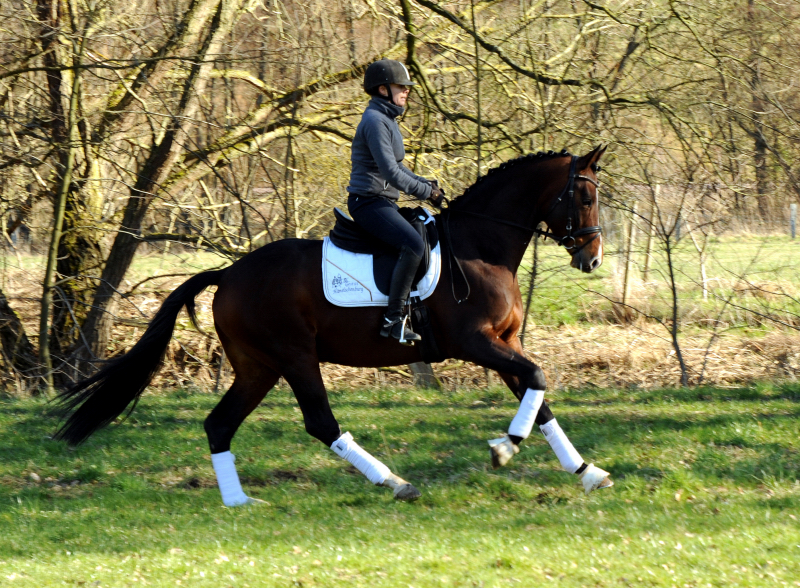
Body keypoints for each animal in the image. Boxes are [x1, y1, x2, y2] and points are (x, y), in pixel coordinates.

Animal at [56, 145, 612, 504]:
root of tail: (229, 273)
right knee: (320, 422)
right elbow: (537, 379)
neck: (482, 246)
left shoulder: (503, 342)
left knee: (220, 424)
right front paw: (503, 449)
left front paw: (587, 472)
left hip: (258, 367)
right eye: (584, 198)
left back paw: (239, 502)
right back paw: (394, 483)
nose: (592, 258)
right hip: (295, 357)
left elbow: (538, 397)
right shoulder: (475, 342)